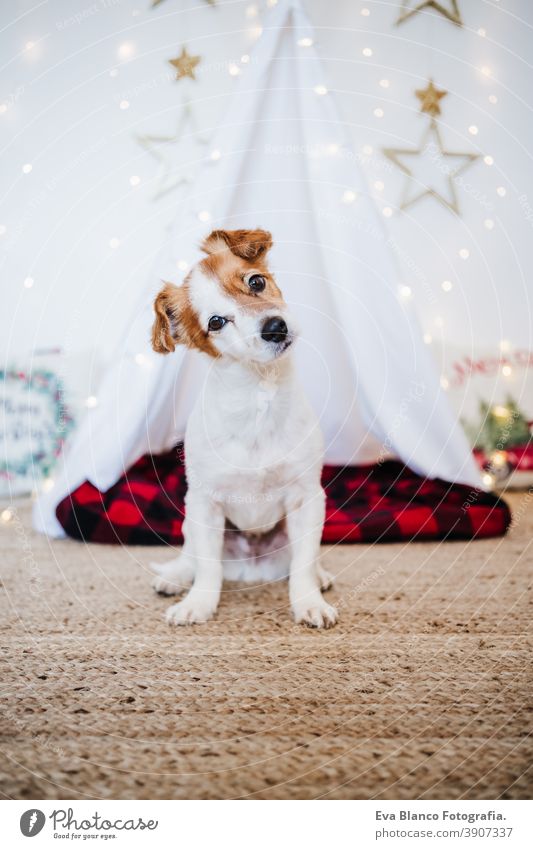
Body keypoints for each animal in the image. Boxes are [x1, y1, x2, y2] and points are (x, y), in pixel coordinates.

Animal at [149, 229, 336, 628]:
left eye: (256, 282)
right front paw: (198, 603)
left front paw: (308, 601)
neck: (258, 399)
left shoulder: (307, 499)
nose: (275, 327)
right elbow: (207, 569)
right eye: (216, 322)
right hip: (191, 520)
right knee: (192, 555)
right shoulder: (204, 503)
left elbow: (302, 566)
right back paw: (175, 577)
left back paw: (321, 576)